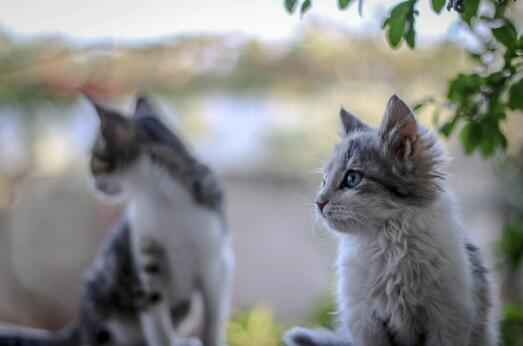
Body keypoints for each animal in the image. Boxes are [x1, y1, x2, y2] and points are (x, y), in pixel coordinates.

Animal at [0, 95, 233, 346]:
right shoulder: (146, 258)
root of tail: (81, 323)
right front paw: (165, 340)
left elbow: (213, 316)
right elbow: (156, 317)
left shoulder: (216, 262)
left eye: (94, 158)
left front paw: (211, 339)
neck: (162, 197)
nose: (92, 185)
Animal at [284, 94, 498, 346]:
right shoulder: (365, 322)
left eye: (352, 178)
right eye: (324, 180)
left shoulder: (448, 318)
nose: (319, 202)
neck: (388, 242)